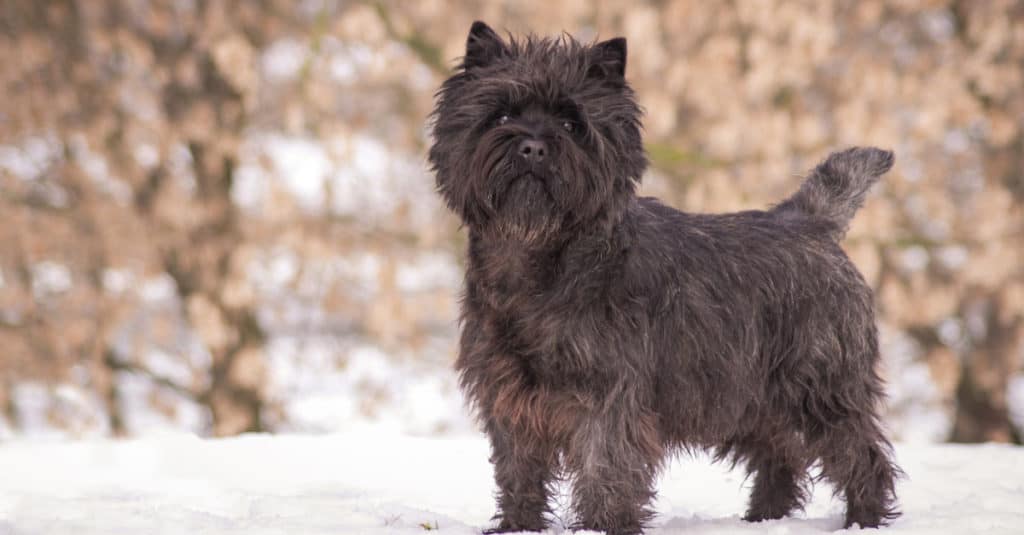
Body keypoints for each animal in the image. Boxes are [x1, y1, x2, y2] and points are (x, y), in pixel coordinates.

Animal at [428, 20, 901, 532]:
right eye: (501, 116)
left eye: (573, 124)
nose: (533, 146)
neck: (537, 261)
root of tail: (809, 222)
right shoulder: (510, 395)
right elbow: (519, 469)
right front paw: (517, 524)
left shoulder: (609, 397)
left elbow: (606, 467)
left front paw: (605, 524)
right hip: (748, 396)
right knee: (780, 453)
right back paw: (762, 517)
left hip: (820, 387)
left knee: (859, 452)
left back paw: (864, 518)